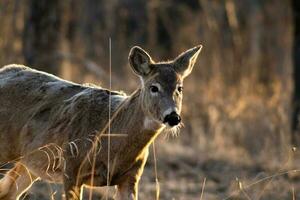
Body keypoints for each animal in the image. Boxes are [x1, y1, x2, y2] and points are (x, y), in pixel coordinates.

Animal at [0, 44, 203, 199]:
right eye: (154, 87)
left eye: (180, 88)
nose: (173, 117)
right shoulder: (71, 168)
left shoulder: (131, 177)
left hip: (30, 163)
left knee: (8, 192)